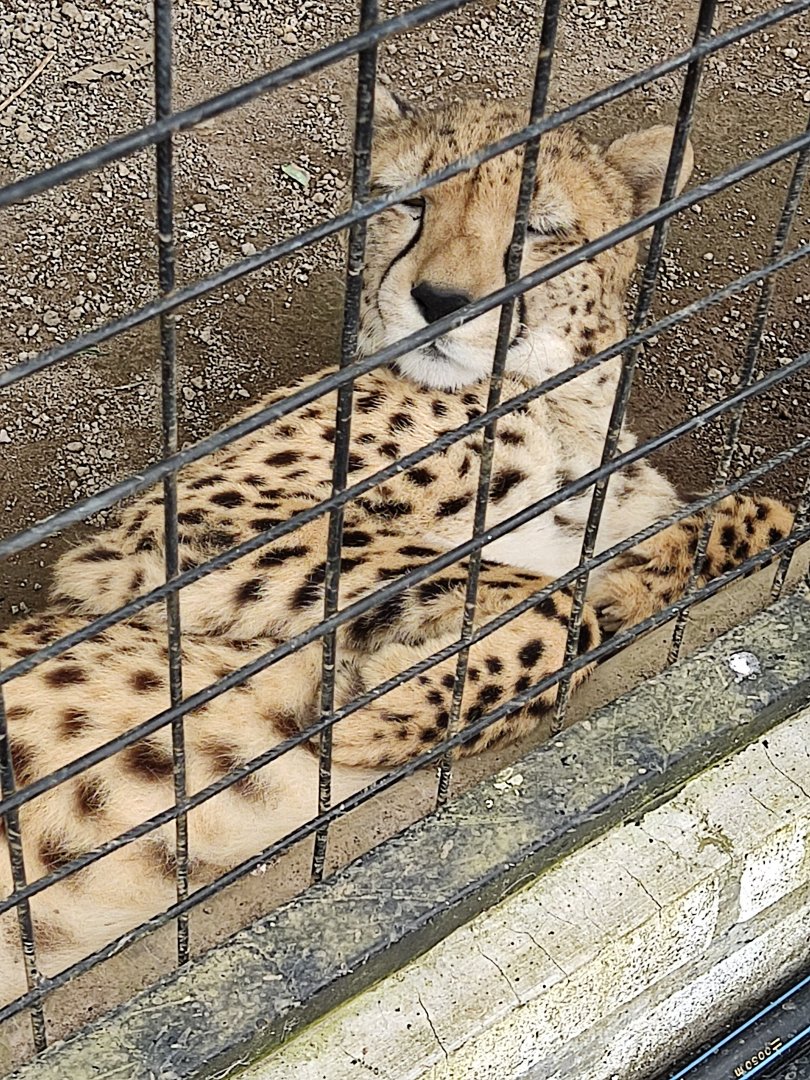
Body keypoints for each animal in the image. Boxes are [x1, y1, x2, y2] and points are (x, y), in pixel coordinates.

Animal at [1, 88, 794, 1003]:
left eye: (538, 227)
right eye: (410, 203)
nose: (440, 301)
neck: (560, 401)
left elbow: (751, 520)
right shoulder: (154, 540)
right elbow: (529, 591)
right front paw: (378, 710)